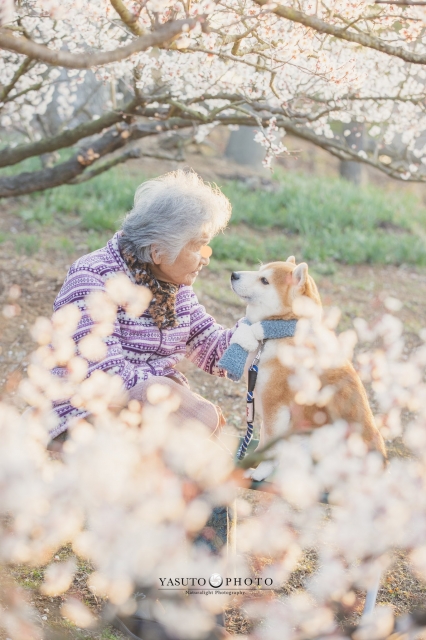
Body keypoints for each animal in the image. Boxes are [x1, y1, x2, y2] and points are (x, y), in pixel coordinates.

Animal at [231, 256, 388, 480]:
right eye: (259, 271)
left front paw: (258, 471)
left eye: (264, 280)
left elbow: (267, 446)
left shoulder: (275, 408)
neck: (283, 331)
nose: (233, 274)